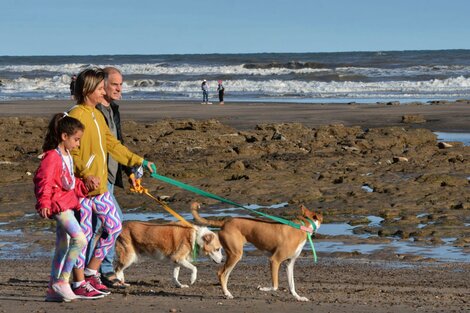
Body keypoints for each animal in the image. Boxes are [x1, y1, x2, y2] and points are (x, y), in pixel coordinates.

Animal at [190, 201, 320, 302]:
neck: (301, 226)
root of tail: (225, 222)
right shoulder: (274, 260)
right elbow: (275, 286)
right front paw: (262, 288)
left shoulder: (289, 264)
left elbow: (292, 285)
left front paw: (298, 297)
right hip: (235, 255)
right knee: (221, 273)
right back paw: (227, 293)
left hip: (233, 255)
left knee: (224, 275)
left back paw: (226, 293)